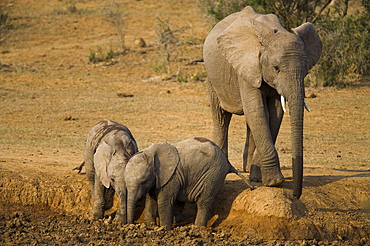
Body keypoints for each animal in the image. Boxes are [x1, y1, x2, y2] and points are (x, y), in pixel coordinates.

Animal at [125, 137, 253, 230]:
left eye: (143, 182)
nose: (131, 225)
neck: (150, 153)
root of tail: (227, 162)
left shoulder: (171, 177)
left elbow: (164, 202)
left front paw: (165, 229)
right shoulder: (158, 178)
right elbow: (151, 200)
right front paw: (150, 226)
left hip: (214, 174)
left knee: (203, 202)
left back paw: (198, 228)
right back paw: (181, 222)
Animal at [202, 5, 320, 198]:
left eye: (305, 72)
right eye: (276, 68)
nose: (296, 195)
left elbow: (274, 114)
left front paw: (263, 179)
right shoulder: (247, 66)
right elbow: (257, 111)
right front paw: (275, 181)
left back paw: (250, 171)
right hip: (213, 76)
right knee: (221, 116)